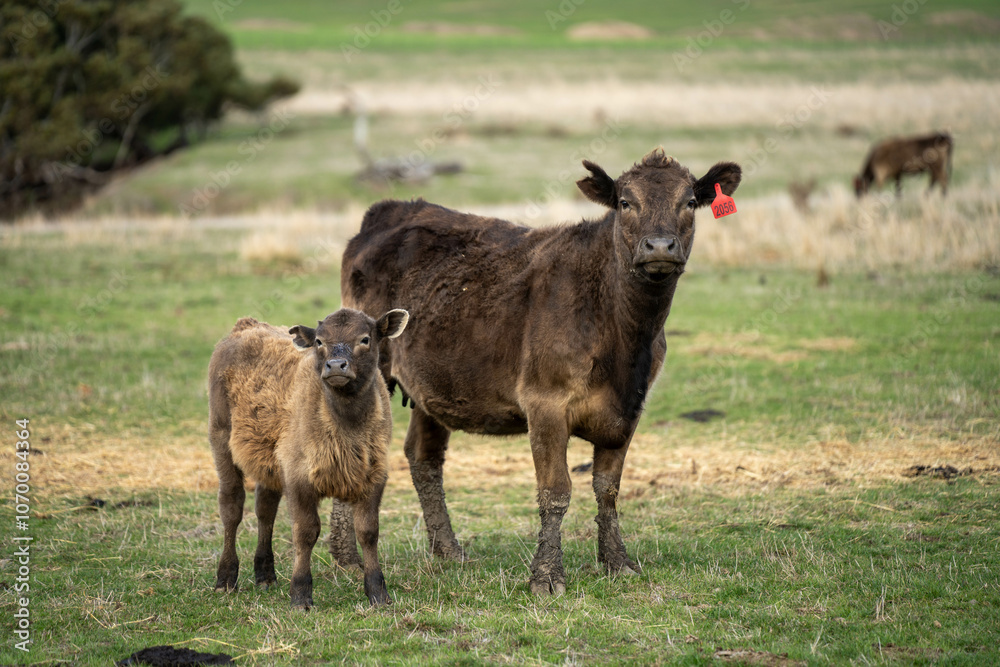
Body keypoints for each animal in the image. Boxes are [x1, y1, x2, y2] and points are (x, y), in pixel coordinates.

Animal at [331, 148, 741, 595]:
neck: (624, 338)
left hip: (432, 385)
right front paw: (546, 576)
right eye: (625, 203)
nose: (660, 245)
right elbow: (555, 492)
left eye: (690, 201)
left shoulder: (629, 409)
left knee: (424, 457)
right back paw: (346, 559)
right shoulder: (545, 403)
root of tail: (394, 208)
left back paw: (448, 551)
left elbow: (608, 489)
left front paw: (617, 562)